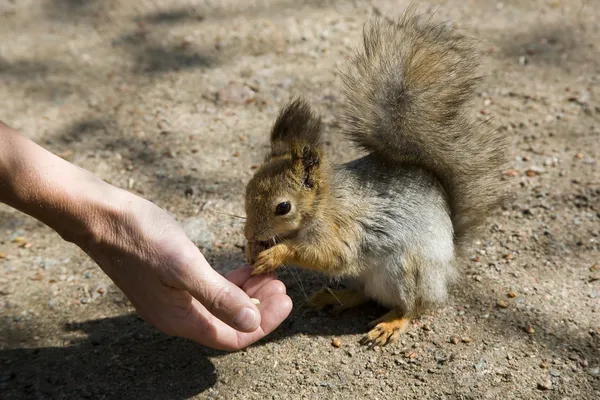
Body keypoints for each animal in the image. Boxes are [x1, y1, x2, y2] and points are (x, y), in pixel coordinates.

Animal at [243, 8, 506, 346]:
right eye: (247, 190)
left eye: (283, 207)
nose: (249, 234)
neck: (321, 205)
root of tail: (447, 270)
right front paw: (252, 249)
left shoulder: (340, 230)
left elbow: (331, 255)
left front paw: (275, 254)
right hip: (363, 276)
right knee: (366, 294)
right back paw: (335, 298)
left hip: (406, 271)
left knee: (411, 307)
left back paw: (391, 323)